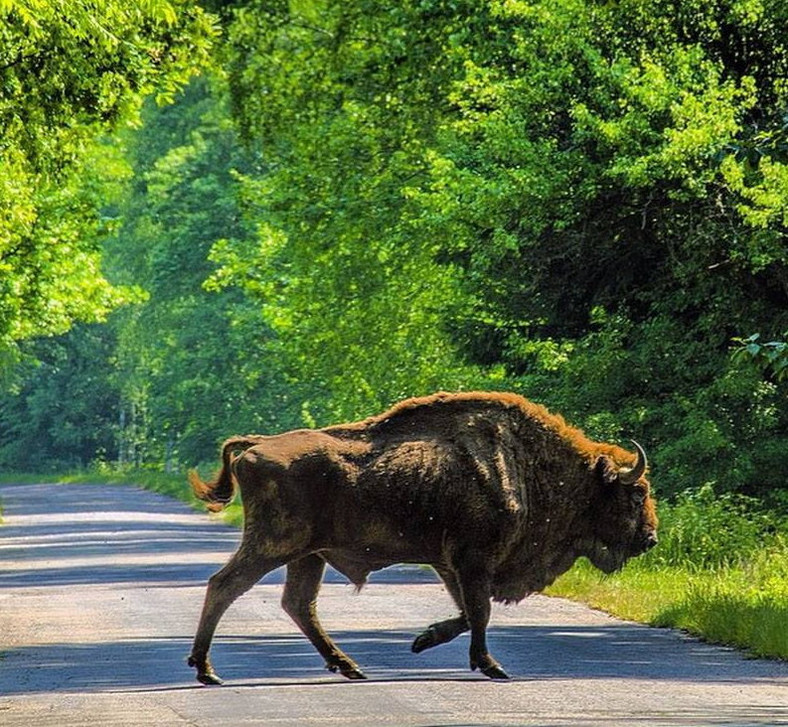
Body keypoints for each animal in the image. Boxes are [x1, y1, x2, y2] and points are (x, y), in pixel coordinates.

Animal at [188, 392, 656, 684]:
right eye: (636, 493)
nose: (649, 538)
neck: (524, 465)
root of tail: (256, 446)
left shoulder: (452, 565)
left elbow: (469, 612)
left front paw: (422, 640)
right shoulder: (472, 560)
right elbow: (480, 611)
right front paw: (490, 666)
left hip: (309, 554)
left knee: (299, 604)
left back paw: (350, 666)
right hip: (274, 545)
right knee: (225, 586)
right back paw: (206, 670)